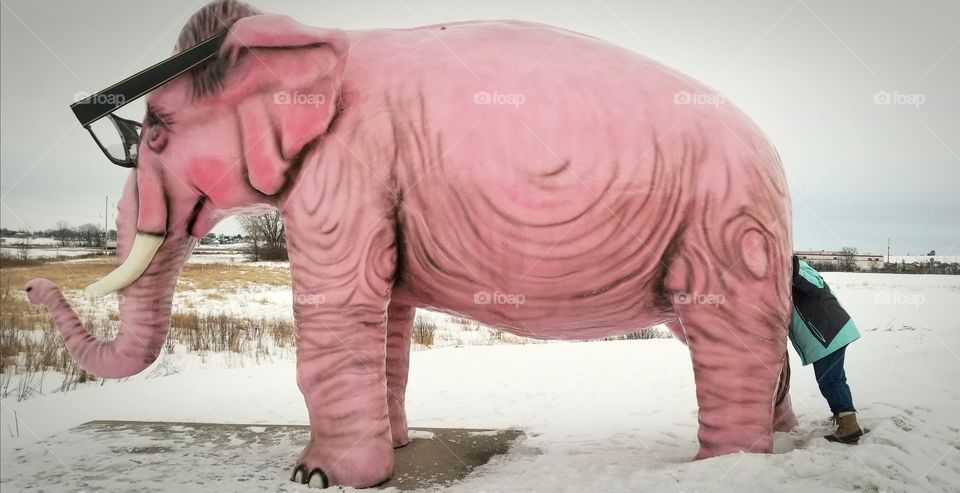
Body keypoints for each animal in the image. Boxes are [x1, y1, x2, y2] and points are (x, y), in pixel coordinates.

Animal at [26, 0, 798, 488]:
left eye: (150, 135)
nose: (33, 285)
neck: (313, 37)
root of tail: (774, 157)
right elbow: (387, 318)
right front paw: (395, 451)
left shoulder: (346, 167)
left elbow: (339, 306)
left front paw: (316, 476)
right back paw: (781, 437)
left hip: (726, 222)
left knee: (729, 337)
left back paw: (723, 468)